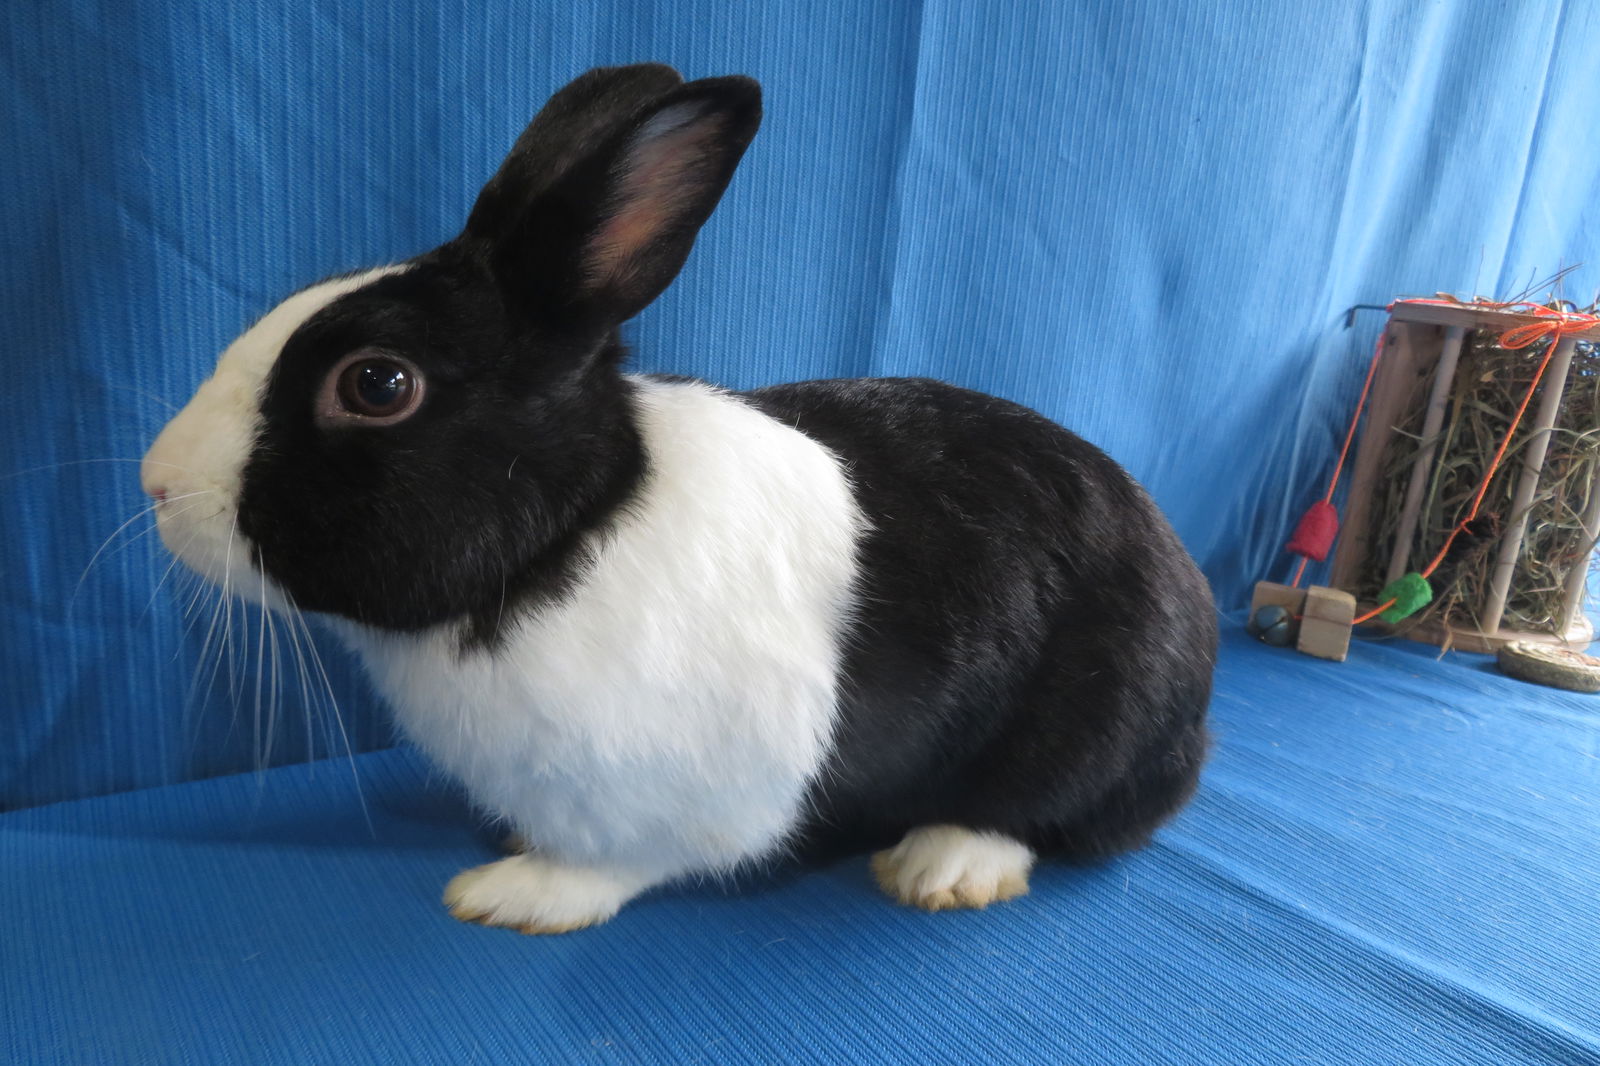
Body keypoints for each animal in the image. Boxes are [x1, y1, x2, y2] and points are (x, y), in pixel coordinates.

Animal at [144, 64, 1216, 928]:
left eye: (376, 384)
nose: (156, 483)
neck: (564, 535)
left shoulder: (690, 795)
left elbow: (623, 863)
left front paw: (512, 896)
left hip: (1089, 726)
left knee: (1051, 813)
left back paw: (941, 866)